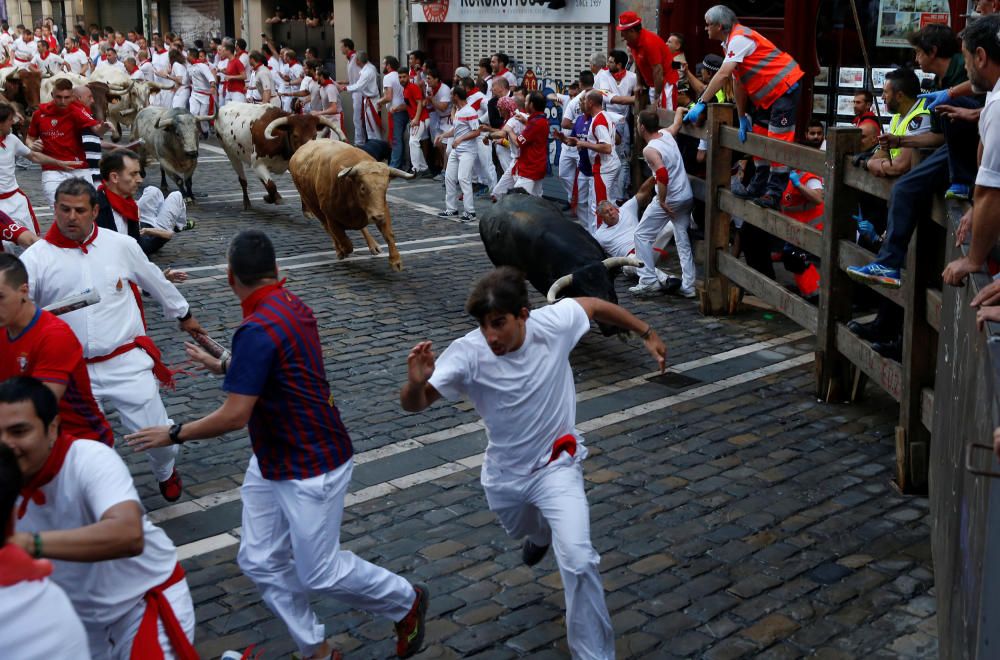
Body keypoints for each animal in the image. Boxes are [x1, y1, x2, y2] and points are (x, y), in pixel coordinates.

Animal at [290, 141, 414, 272]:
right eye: (363, 188)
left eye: (385, 188)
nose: (377, 217)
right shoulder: (330, 217)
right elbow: (345, 242)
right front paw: (342, 251)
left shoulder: (382, 208)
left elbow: (389, 234)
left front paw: (396, 261)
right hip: (312, 204)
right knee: (327, 228)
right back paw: (339, 249)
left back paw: (373, 246)